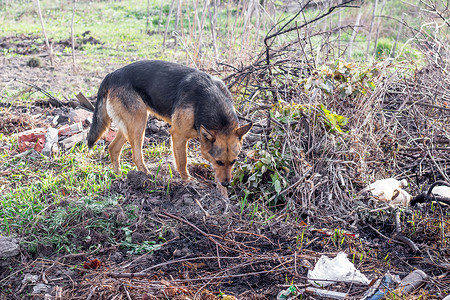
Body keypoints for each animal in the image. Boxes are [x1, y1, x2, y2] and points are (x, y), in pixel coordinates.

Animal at [86, 59, 251, 190]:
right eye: (219, 162)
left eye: (234, 162)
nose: (226, 184)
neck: (210, 100)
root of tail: (112, 74)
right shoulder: (178, 135)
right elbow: (182, 162)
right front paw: (188, 181)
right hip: (139, 123)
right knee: (136, 156)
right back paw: (148, 177)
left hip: (129, 125)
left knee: (113, 148)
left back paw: (118, 176)